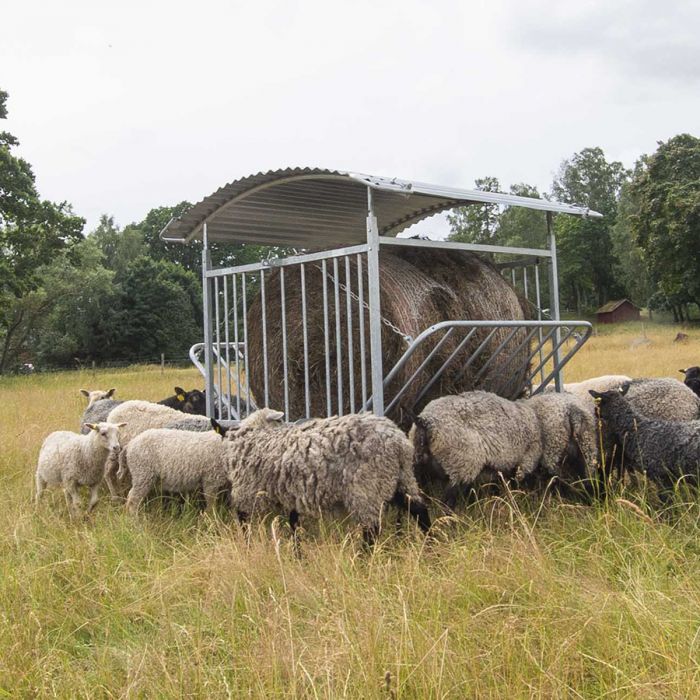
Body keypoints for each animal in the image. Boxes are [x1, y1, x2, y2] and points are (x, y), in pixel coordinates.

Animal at [224, 408, 432, 544]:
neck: (263, 434)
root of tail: (399, 443)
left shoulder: (248, 490)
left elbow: (244, 521)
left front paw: (247, 545)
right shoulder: (291, 493)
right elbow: (294, 524)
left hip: (367, 486)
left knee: (371, 530)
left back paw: (362, 561)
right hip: (400, 478)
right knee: (419, 510)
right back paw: (430, 547)